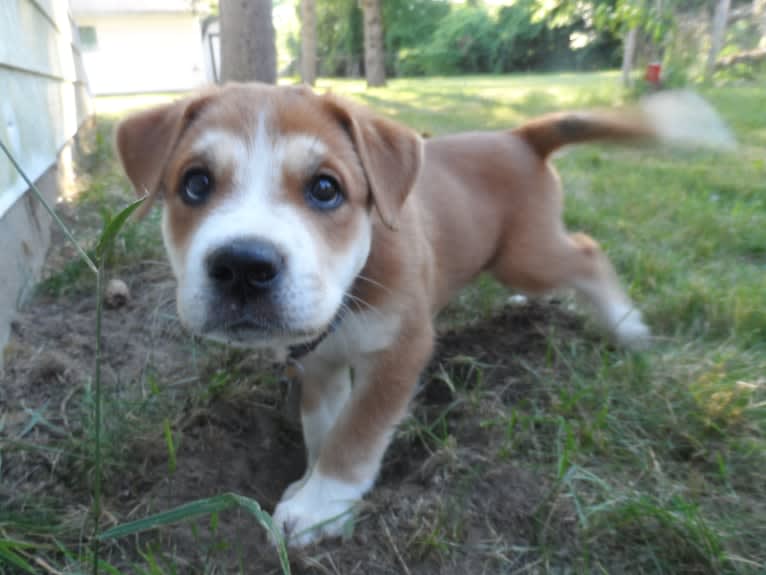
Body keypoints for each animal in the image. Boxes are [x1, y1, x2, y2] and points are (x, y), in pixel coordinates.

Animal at [117, 83, 736, 548]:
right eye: (195, 183)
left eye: (325, 189)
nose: (244, 265)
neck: (354, 286)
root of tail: (517, 138)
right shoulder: (318, 363)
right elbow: (325, 426)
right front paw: (310, 484)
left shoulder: (401, 351)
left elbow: (356, 434)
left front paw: (321, 505)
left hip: (526, 256)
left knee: (586, 251)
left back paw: (626, 325)